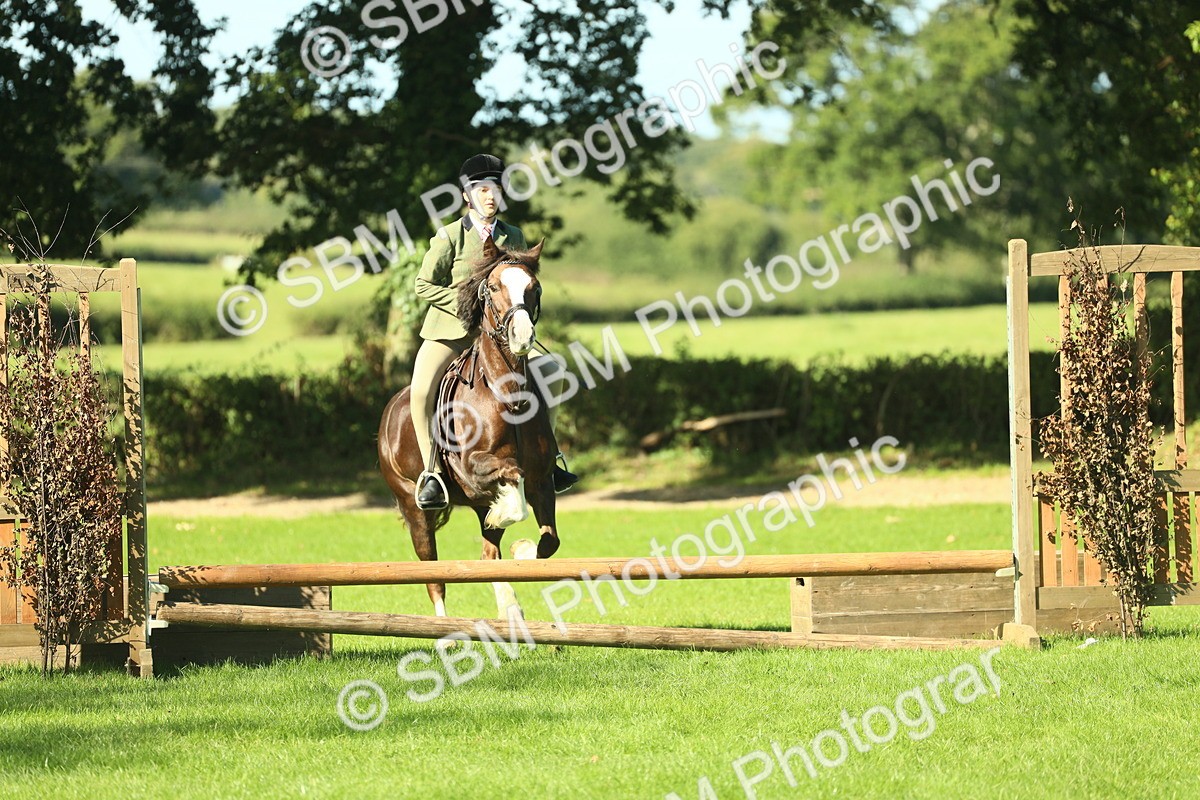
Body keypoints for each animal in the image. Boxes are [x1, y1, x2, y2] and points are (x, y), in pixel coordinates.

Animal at [377, 238, 560, 621]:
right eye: (492, 288)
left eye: (534, 288)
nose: (522, 336)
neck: (507, 393)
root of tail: (388, 413)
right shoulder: (474, 468)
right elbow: (513, 488)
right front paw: (510, 521)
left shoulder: (542, 479)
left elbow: (548, 542)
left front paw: (521, 550)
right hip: (414, 507)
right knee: (433, 575)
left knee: (487, 554)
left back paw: (510, 606)